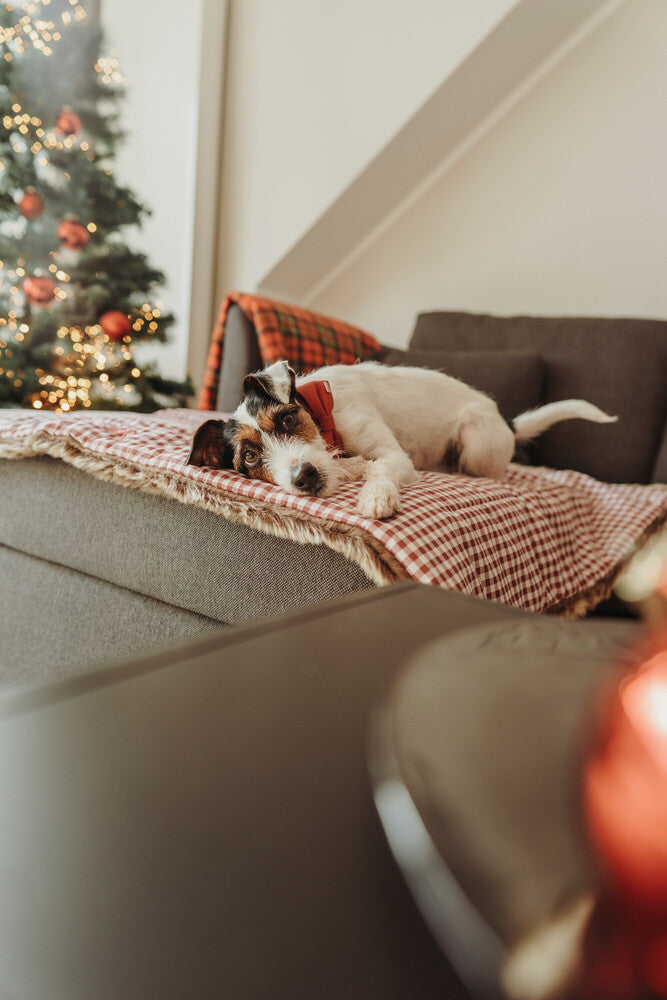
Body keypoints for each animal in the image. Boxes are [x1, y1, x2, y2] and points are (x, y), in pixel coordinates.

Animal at [187, 360, 616, 520]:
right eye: (250, 457)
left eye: (288, 419)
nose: (304, 477)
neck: (326, 415)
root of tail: (505, 421)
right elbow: (354, 463)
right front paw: (351, 467)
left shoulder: (394, 455)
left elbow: (381, 467)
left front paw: (375, 497)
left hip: (476, 436)